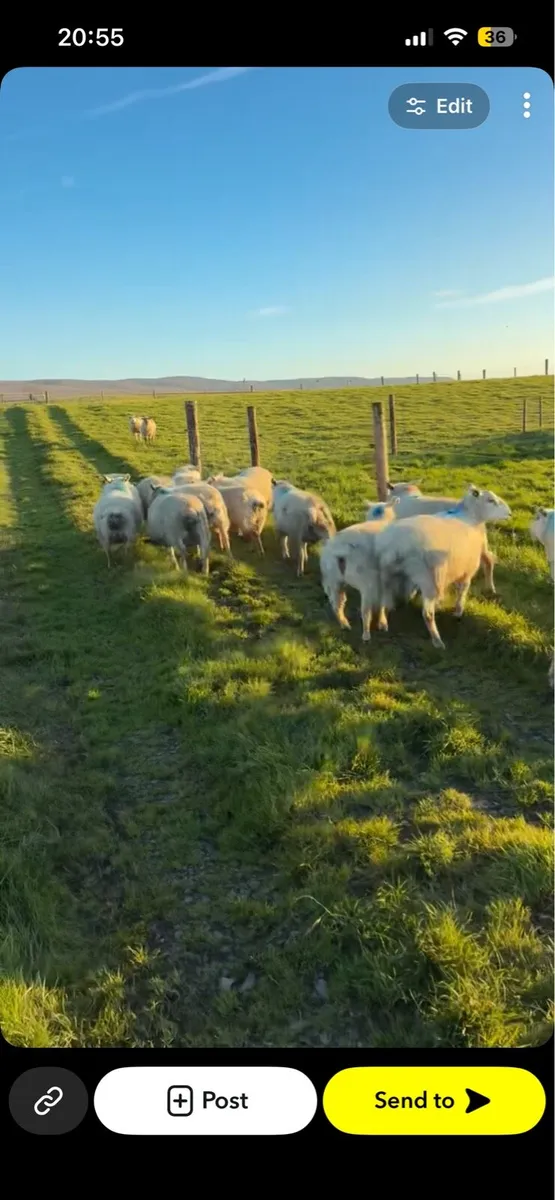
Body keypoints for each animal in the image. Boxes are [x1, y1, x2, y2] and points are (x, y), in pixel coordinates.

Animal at [320, 498, 399, 639]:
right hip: (365, 581)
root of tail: (341, 549)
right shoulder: (383, 578)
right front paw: (382, 622)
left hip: (333, 579)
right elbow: (382, 602)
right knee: (365, 610)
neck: (380, 521)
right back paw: (366, 634)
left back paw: (344, 624)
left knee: (337, 603)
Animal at [375, 486, 512, 649]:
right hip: (429, 579)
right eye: (491, 500)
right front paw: (458, 611)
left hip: (386, 572)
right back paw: (437, 640)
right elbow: (463, 589)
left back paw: (382, 623)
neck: (470, 516)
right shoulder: (467, 569)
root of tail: (397, 545)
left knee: (382, 598)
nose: (510, 513)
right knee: (427, 614)